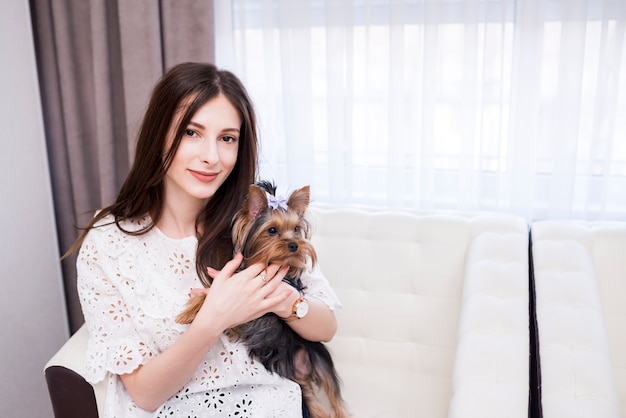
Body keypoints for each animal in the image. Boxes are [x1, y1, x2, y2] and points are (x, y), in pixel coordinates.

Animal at [177, 180, 346, 418]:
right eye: (272, 230)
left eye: (296, 229)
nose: (294, 245)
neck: (265, 262)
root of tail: (300, 368)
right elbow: (214, 294)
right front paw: (190, 311)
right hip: (298, 380)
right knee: (315, 405)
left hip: (319, 359)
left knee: (334, 397)